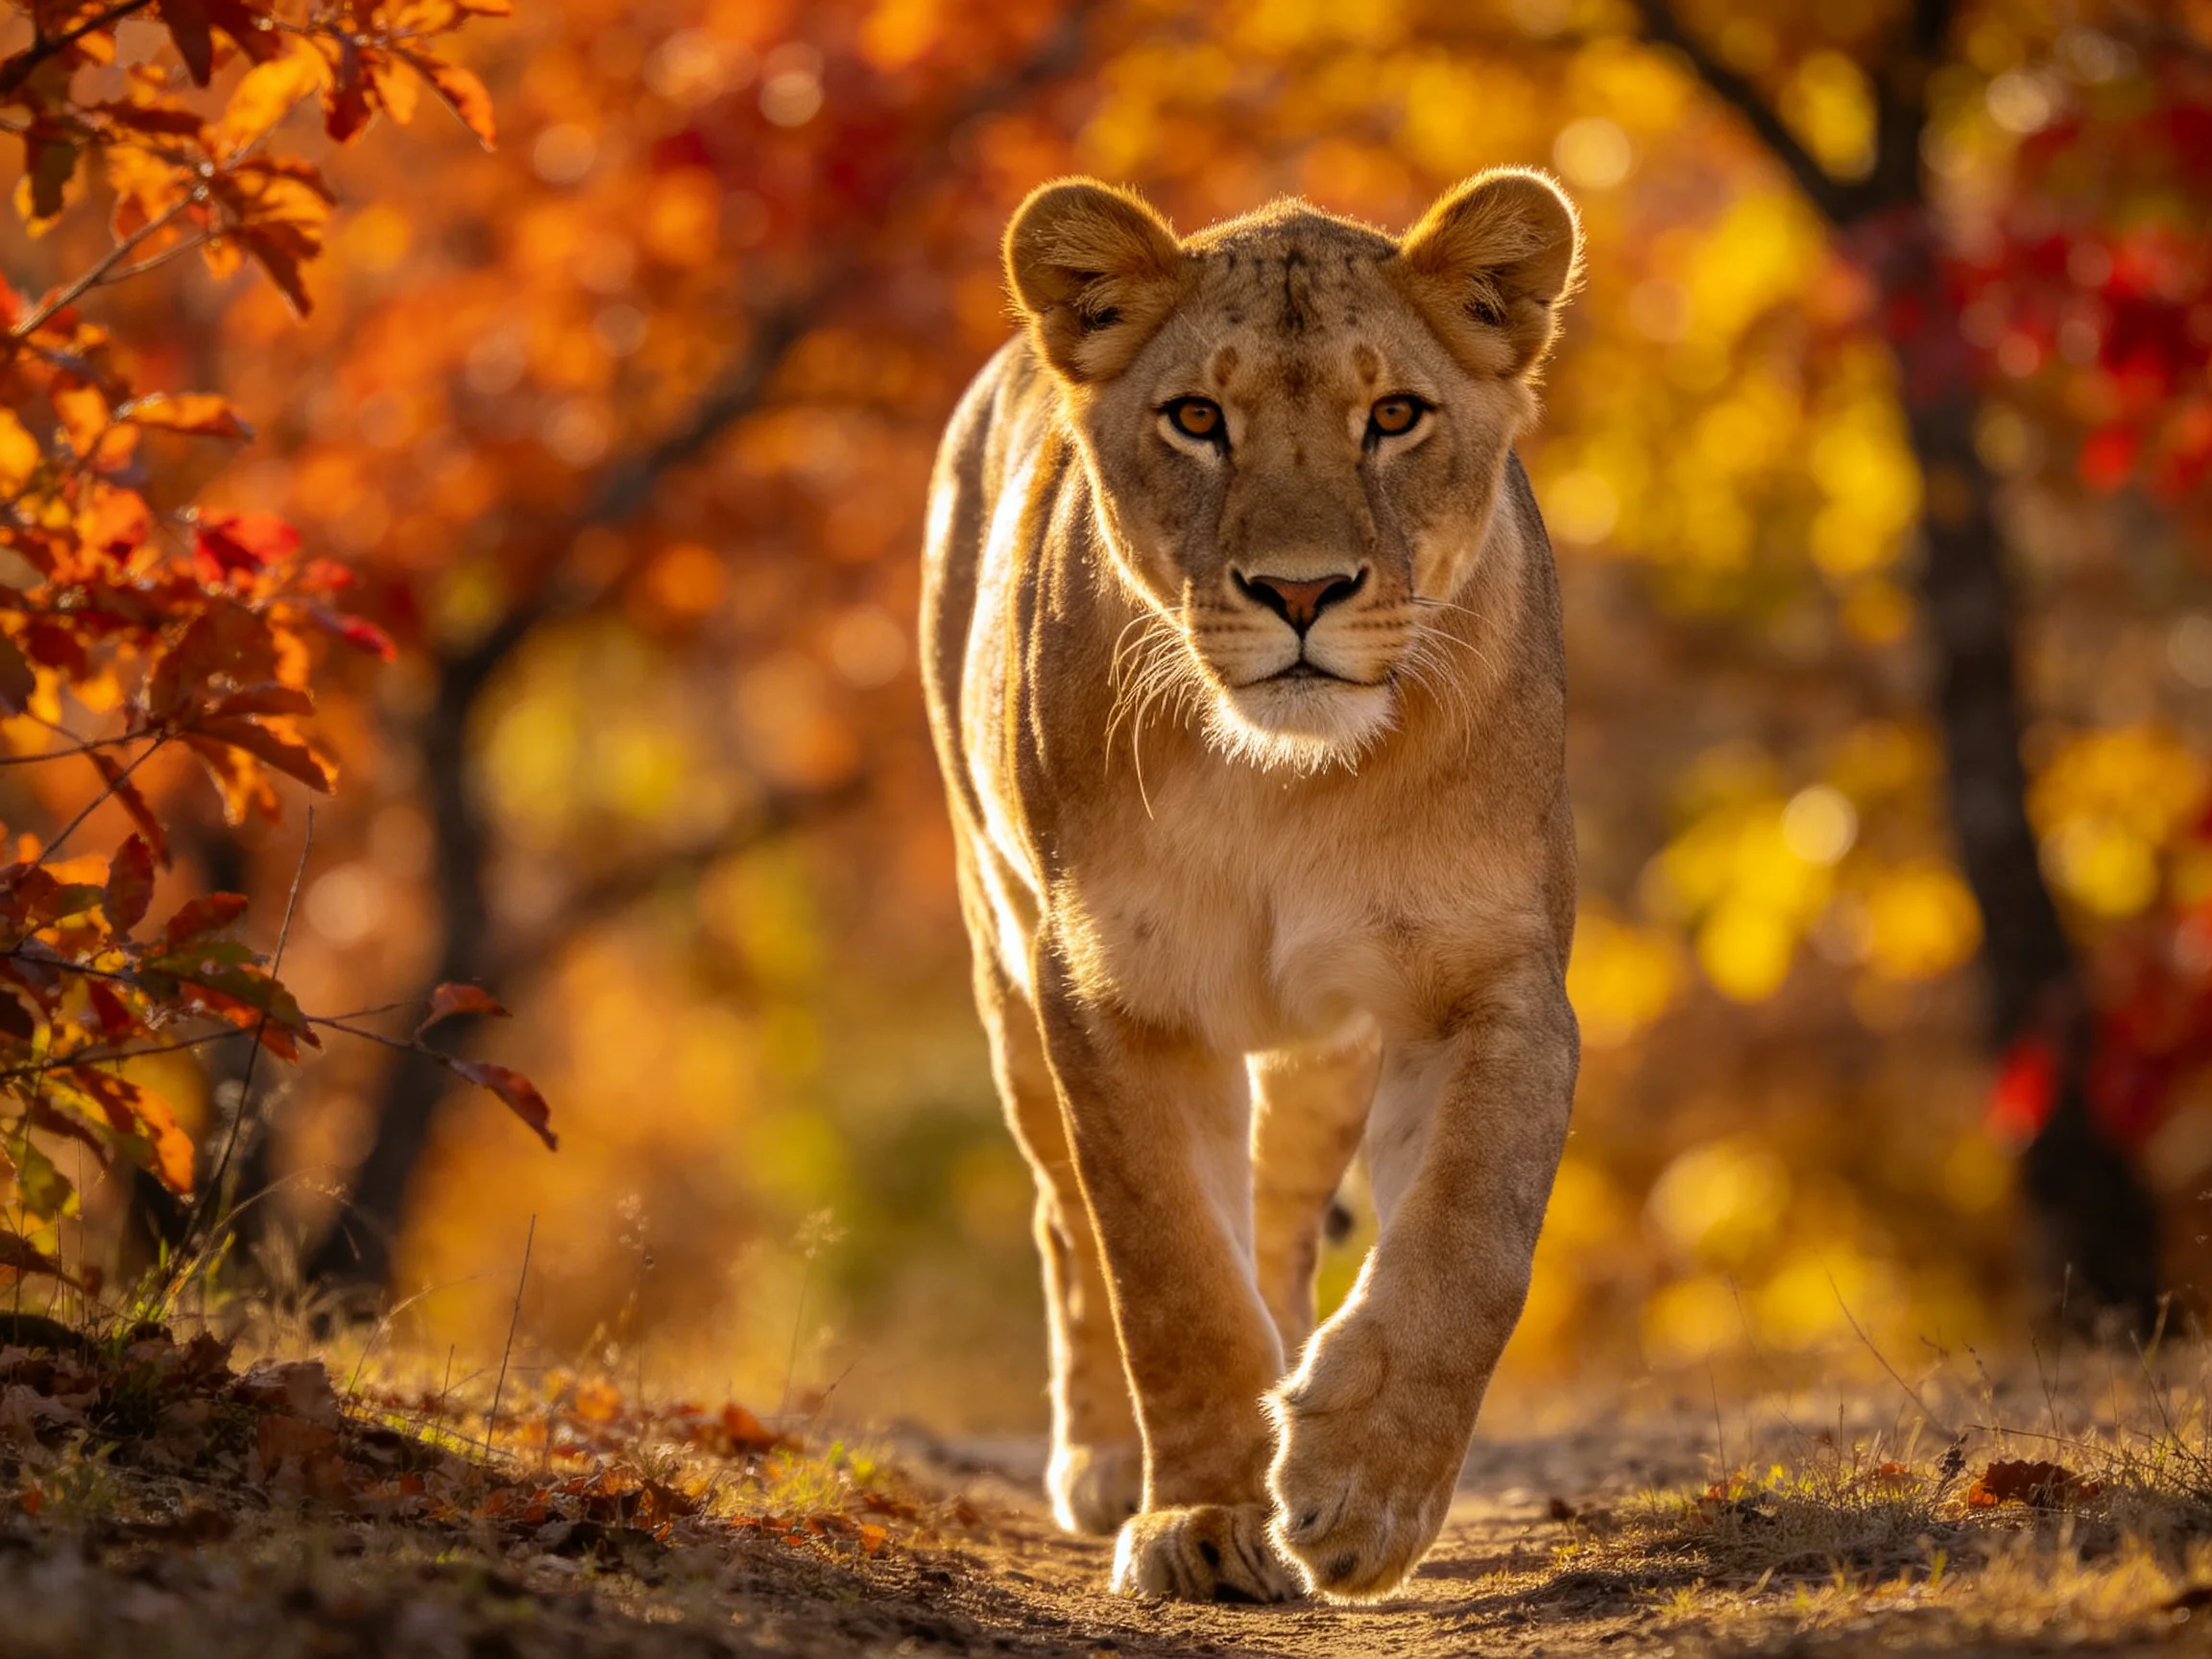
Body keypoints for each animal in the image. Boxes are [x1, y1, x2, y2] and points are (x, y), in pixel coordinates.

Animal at [918, 171, 1583, 1604]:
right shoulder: (1113, 991)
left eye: (1392, 415)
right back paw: (1112, 1464)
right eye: (1195, 419)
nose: (1300, 590)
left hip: (1321, 1054)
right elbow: (1166, 1268)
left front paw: (1361, 1490)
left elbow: (1470, 1237)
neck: (1286, 783)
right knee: (1067, 1223)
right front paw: (1208, 1520)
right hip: (1002, 953)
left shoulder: (1494, 979)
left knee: (1280, 1223)